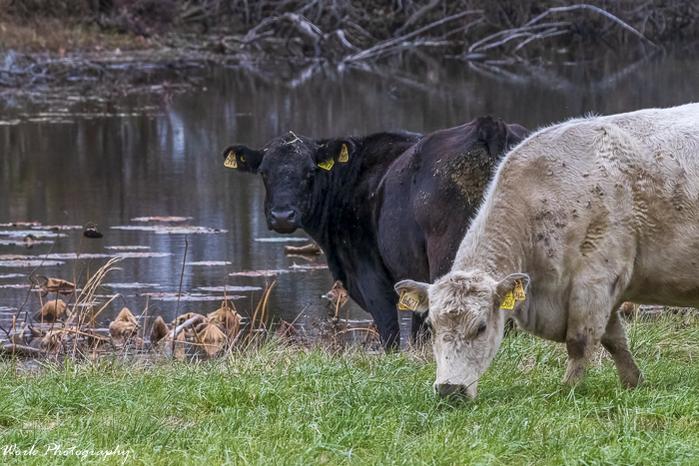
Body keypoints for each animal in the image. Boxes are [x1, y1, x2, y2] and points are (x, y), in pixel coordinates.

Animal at [222, 117, 528, 348]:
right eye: (264, 172)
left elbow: (391, 334)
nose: (282, 215)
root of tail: (488, 125)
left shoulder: (369, 275)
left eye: (310, 171)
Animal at [395, 103, 699, 397]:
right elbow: (614, 340)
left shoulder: (596, 278)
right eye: (432, 325)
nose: (449, 389)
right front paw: (632, 382)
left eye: (481, 327)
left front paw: (570, 389)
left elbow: (581, 341)